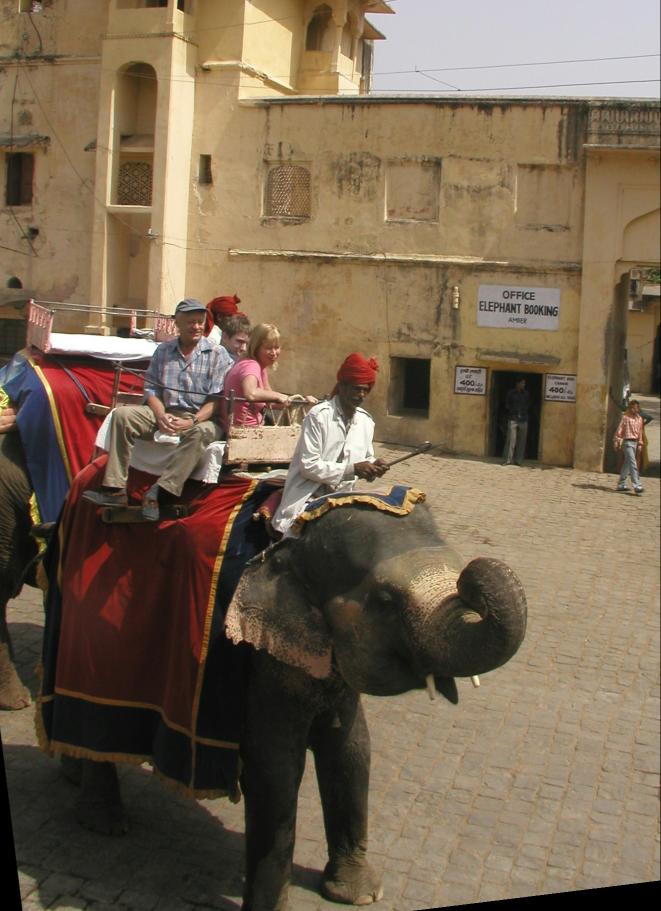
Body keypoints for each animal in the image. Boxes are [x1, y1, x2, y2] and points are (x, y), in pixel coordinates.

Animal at [63, 498, 524, 911]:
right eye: (385, 600)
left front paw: (358, 895)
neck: (294, 543)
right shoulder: (258, 659)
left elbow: (352, 752)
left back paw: (73, 775)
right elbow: (276, 770)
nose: (470, 579)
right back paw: (104, 822)